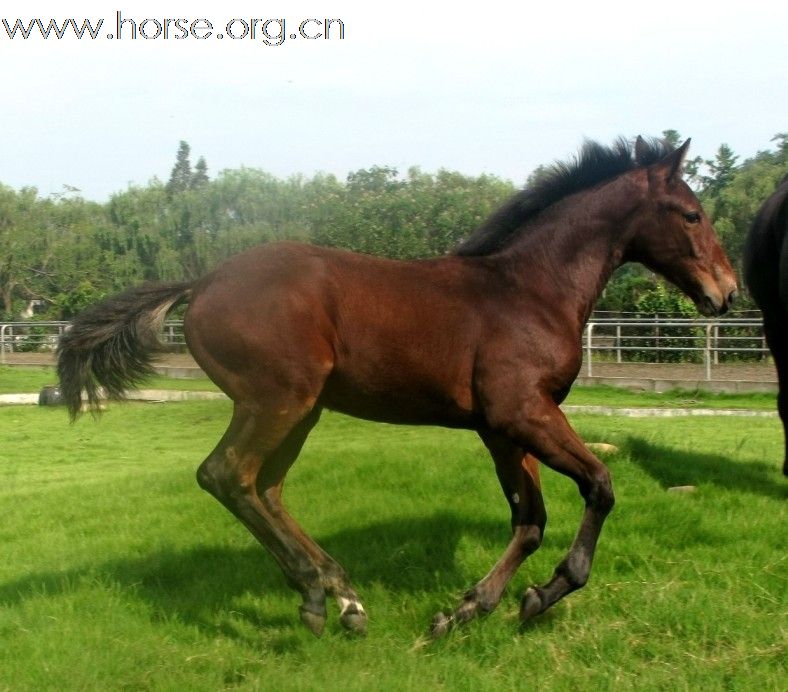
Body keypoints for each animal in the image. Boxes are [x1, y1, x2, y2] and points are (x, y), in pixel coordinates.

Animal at [57, 137, 740, 636]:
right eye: (692, 214)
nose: (727, 293)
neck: (528, 289)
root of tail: (201, 283)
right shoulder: (522, 412)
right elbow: (598, 485)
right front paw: (539, 595)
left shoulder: (503, 427)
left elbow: (530, 519)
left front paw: (467, 609)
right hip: (276, 399)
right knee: (226, 475)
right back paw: (315, 595)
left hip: (301, 410)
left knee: (266, 487)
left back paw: (345, 597)